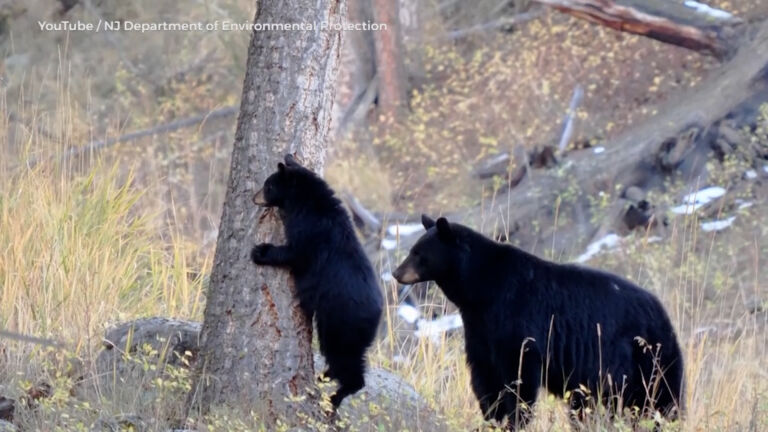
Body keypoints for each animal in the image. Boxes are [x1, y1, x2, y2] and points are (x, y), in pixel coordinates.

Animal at [250, 154, 383, 408]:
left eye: (268, 185)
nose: (254, 197)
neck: (307, 203)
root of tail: (378, 316)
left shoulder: (312, 232)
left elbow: (295, 253)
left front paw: (260, 252)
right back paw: (325, 376)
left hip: (341, 324)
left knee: (345, 361)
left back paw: (334, 397)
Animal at [393, 215, 684, 429]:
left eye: (418, 253)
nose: (396, 273)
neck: (482, 289)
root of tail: (664, 316)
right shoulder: (480, 327)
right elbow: (485, 374)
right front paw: (492, 417)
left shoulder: (516, 316)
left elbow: (518, 371)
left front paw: (515, 418)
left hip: (642, 357)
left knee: (660, 398)